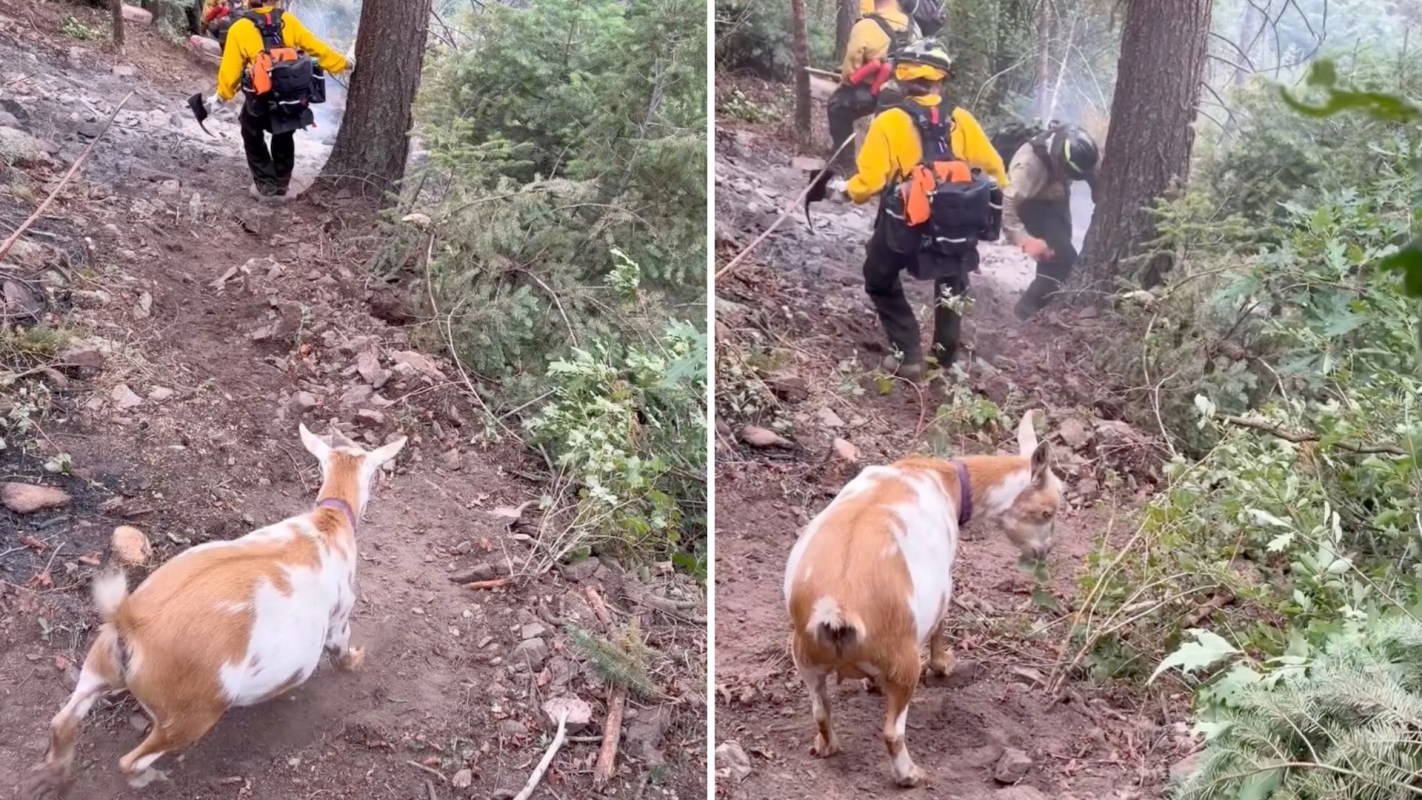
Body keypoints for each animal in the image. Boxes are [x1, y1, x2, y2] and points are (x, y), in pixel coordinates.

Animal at [24, 424, 406, 795]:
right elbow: (340, 646)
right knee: (131, 761)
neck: (328, 519)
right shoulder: (340, 611)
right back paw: (153, 778)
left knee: (62, 721)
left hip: (97, 665)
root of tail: (131, 623)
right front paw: (356, 661)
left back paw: (52, 777)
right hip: (192, 711)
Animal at [783, 410, 1063, 787]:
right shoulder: (944, 582)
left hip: (805, 658)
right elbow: (942, 626)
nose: (1044, 553)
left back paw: (826, 747)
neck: (943, 477)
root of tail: (838, 608)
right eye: (1048, 512)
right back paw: (910, 775)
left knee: (820, 711)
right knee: (892, 731)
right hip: (905, 666)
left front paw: (871, 682)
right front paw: (944, 664)